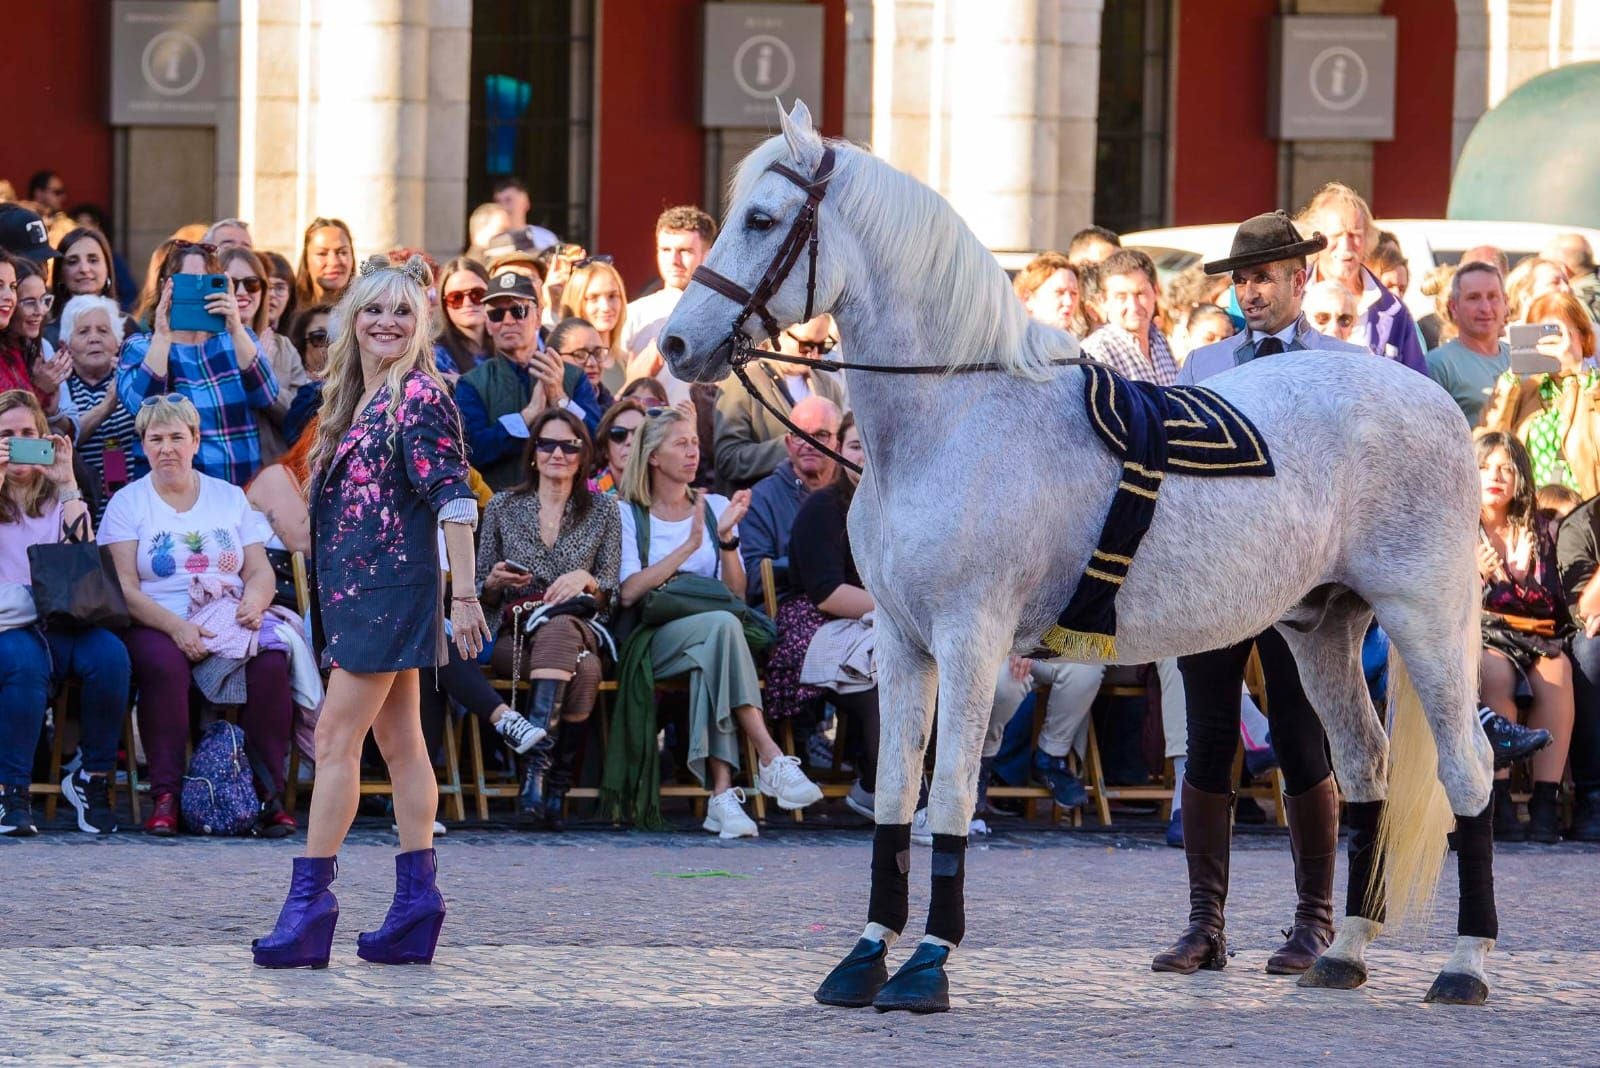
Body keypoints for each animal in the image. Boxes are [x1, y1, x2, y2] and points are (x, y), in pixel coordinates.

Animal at [659, 103, 1497, 1016]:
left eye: (761, 220)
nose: (675, 344)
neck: (954, 416)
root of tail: (1433, 401)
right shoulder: (903, 642)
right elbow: (893, 794)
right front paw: (865, 955)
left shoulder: (970, 638)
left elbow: (949, 791)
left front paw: (927, 964)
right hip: (1323, 629)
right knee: (1363, 767)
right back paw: (1342, 952)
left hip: (1422, 619)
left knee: (1466, 770)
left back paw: (1464, 963)